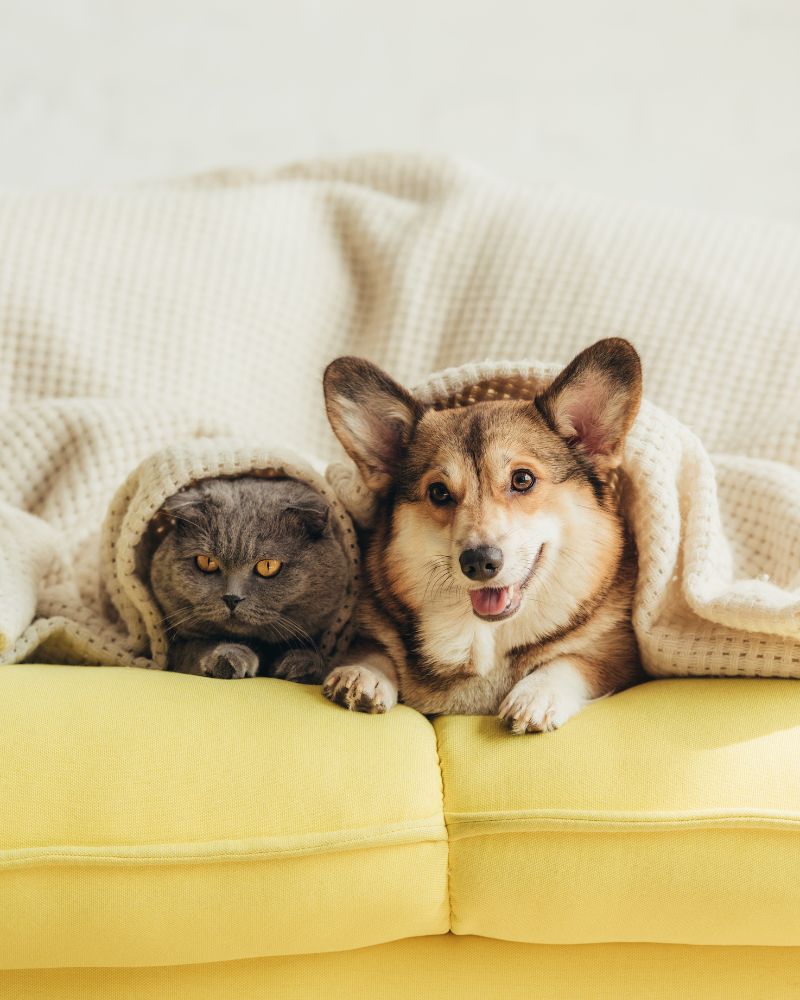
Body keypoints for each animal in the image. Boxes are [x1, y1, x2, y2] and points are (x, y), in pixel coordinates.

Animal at [150, 476, 350, 680]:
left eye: (268, 566)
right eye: (206, 562)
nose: (232, 598)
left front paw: (303, 664)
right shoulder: (176, 650)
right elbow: (197, 647)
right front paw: (230, 657)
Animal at [320, 340, 644, 732]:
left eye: (523, 479)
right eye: (439, 492)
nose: (478, 562)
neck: (482, 637)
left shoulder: (618, 655)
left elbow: (572, 660)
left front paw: (536, 695)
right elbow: (375, 648)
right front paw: (361, 673)